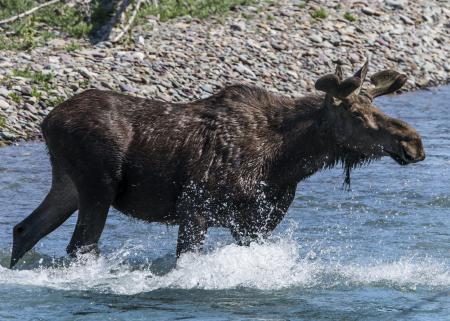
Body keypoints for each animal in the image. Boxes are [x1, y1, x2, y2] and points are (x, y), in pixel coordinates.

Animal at [10, 60, 426, 268]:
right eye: (357, 113)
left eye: (375, 105)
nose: (414, 142)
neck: (286, 160)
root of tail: (46, 121)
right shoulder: (196, 207)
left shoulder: (256, 222)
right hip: (98, 186)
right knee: (79, 246)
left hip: (68, 184)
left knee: (24, 229)